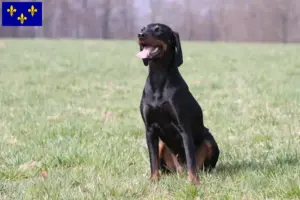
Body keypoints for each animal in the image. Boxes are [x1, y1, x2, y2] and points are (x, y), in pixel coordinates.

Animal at [137, 23, 219, 184]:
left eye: (158, 29)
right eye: (143, 28)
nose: (140, 35)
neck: (159, 78)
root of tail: (180, 169)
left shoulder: (184, 128)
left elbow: (190, 158)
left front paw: (193, 182)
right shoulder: (150, 129)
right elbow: (153, 160)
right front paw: (154, 180)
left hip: (209, 140)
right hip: (162, 144)